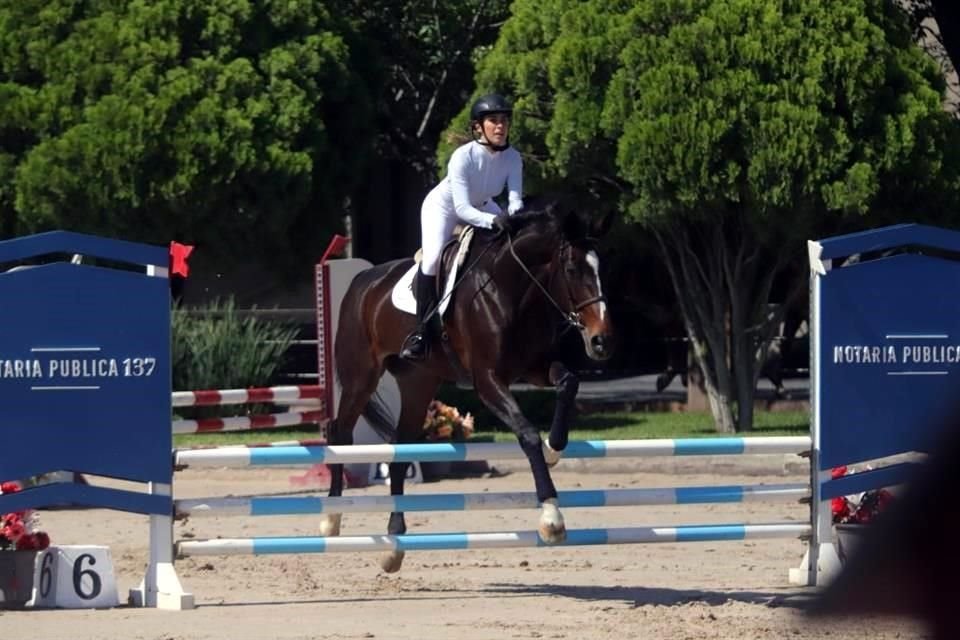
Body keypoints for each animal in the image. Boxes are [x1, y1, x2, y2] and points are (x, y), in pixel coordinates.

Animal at [322, 202, 616, 572]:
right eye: (572, 268)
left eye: (602, 268)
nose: (601, 341)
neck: (510, 288)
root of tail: (362, 281)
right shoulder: (488, 380)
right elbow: (527, 434)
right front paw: (551, 518)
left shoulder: (534, 368)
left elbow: (568, 383)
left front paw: (555, 448)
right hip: (361, 376)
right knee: (340, 433)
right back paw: (331, 520)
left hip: (418, 383)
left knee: (401, 449)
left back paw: (394, 544)